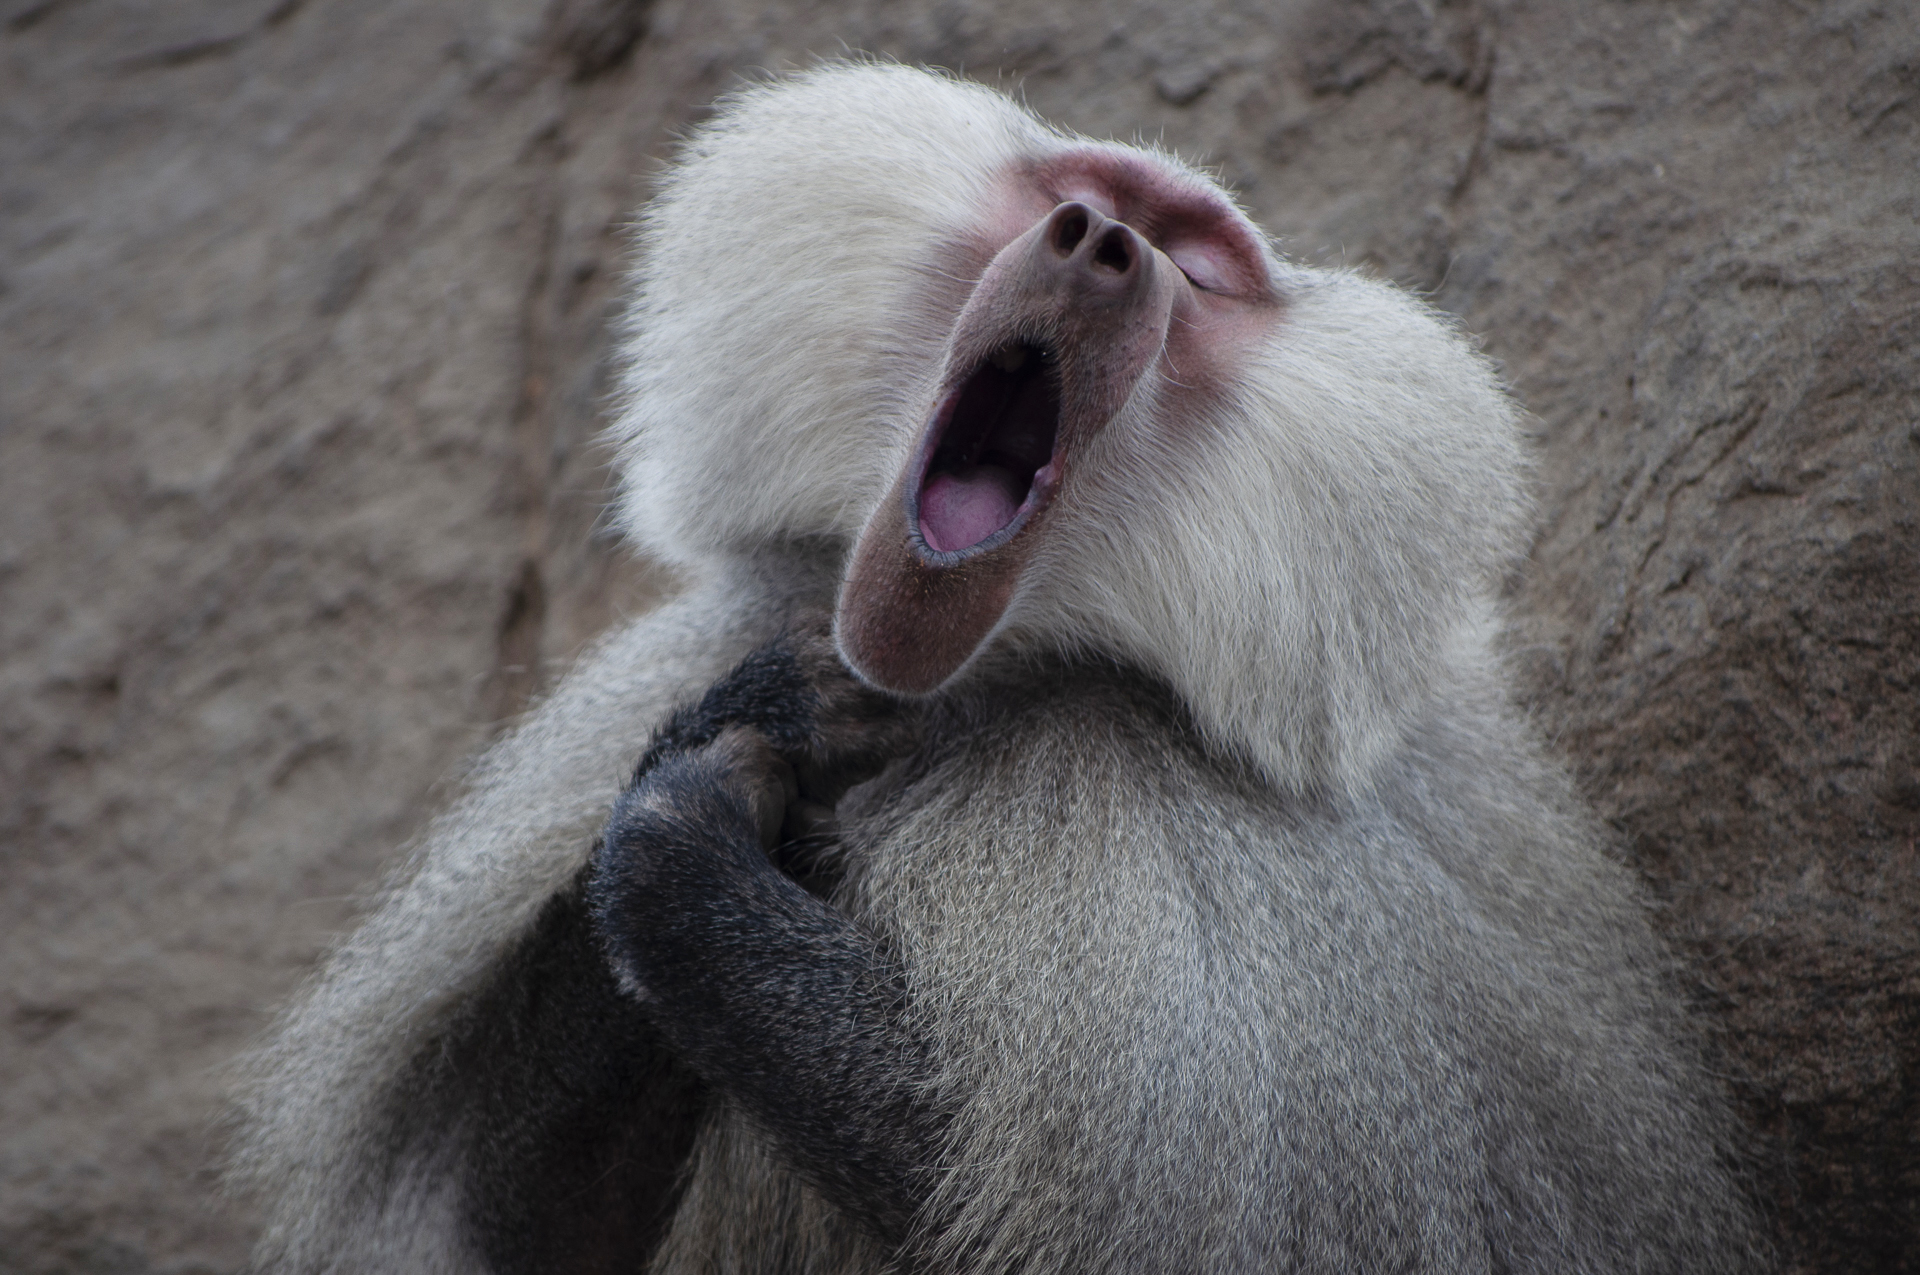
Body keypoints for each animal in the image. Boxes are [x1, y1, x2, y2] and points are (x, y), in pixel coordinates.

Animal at [229, 62, 1769, 1273]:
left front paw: (681, 847)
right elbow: (541, 1232)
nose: (1100, 247)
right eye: (1082, 193)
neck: (961, 685)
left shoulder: (1204, 865)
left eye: (1200, 264)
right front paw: (760, 721)